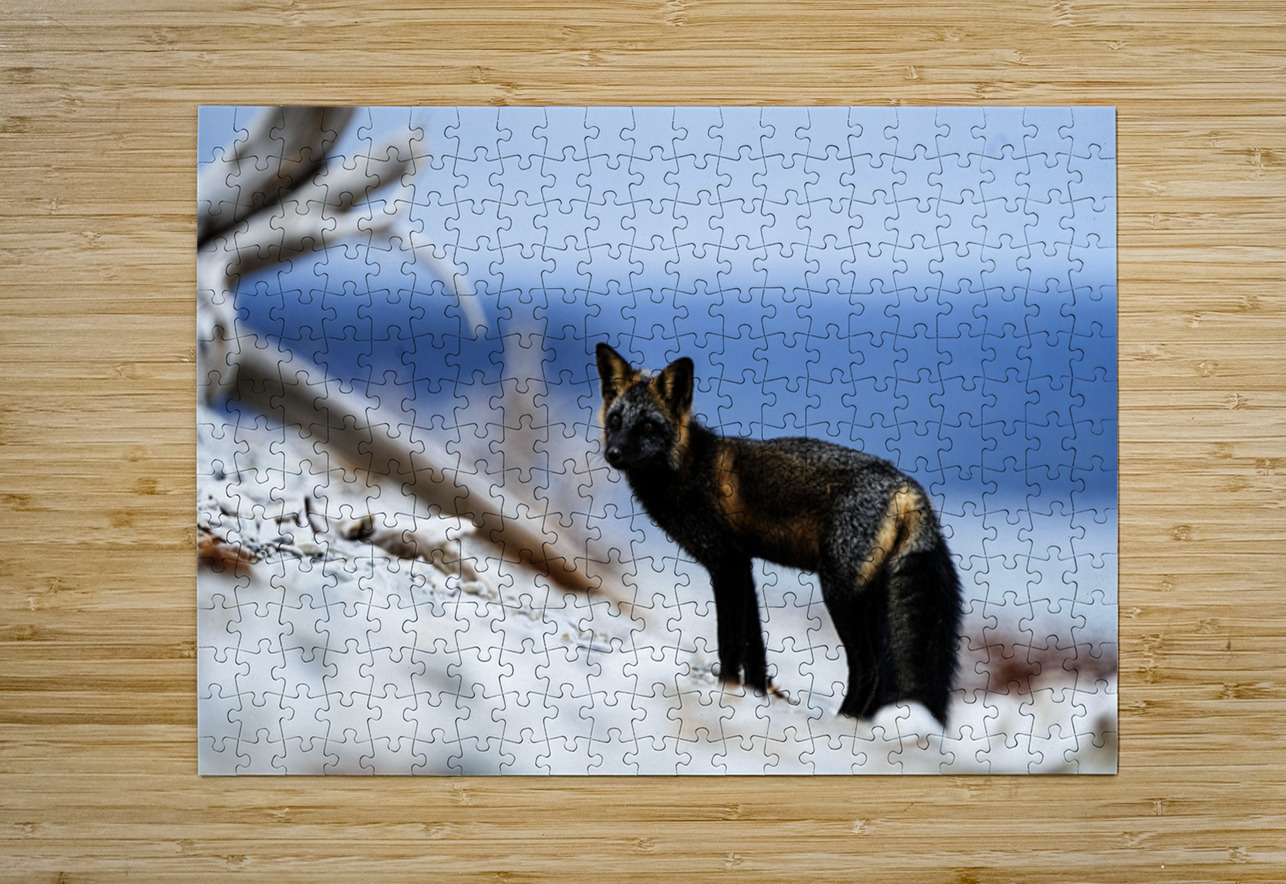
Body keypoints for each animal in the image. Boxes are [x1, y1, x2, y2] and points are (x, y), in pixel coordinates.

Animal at [595, 342, 962, 725]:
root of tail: (906, 484)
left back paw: (845, 720)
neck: (689, 469)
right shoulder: (744, 566)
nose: (613, 453)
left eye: (648, 426)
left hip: (840, 593)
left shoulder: (726, 565)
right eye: (616, 421)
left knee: (870, 671)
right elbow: (755, 649)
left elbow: (730, 643)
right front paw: (754, 697)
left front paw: (726, 691)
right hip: (870, 601)